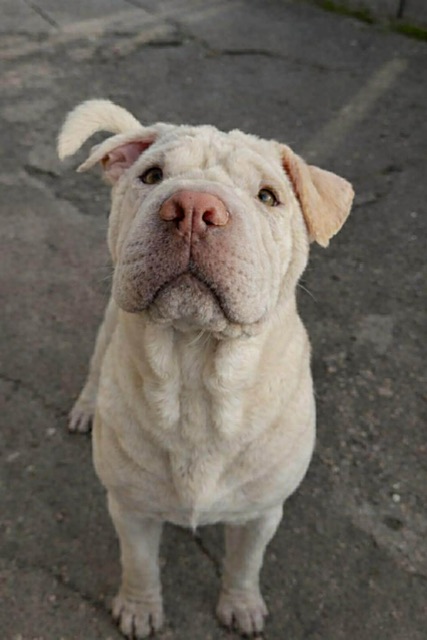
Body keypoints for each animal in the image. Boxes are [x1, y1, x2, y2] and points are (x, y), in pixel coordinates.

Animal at [58, 100, 353, 639]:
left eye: (268, 196)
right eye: (152, 176)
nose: (193, 208)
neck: (195, 373)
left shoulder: (261, 515)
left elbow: (245, 564)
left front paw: (241, 605)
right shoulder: (130, 508)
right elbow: (139, 563)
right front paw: (139, 608)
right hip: (108, 324)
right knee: (95, 367)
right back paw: (87, 408)